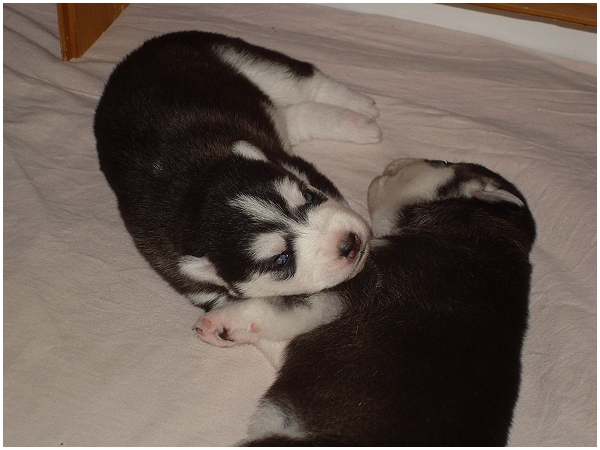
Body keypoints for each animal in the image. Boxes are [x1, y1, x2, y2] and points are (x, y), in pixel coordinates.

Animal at [94, 31, 380, 310]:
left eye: (308, 198)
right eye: (281, 259)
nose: (350, 242)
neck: (194, 181)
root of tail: (127, 63)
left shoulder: (292, 164)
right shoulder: (192, 281)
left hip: (241, 57)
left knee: (307, 82)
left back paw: (361, 108)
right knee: (297, 115)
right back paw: (357, 123)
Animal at [195, 158, 536, 446]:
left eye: (442, 162)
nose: (396, 162)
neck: (479, 224)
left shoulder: (365, 280)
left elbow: (281, 306)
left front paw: (221, 321)